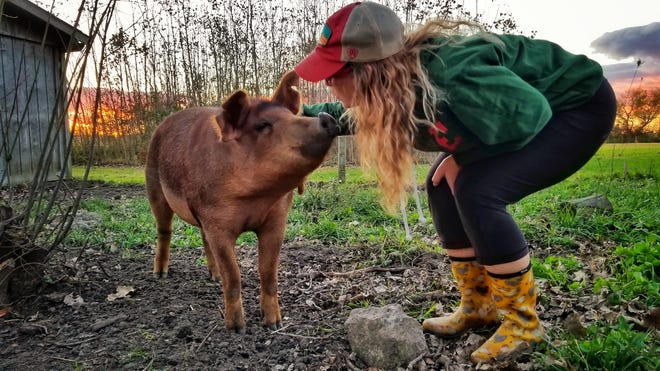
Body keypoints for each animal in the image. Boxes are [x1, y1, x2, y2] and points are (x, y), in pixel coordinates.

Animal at [145, 71, 340, 332]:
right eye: (263, 125)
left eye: (292, 116)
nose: (326, 118)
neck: (255, 198)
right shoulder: (217, 224)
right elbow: (233, 276)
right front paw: (237, 329)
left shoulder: (276, 221)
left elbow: (268, 273)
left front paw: (274, 324)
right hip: (155, 187)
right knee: (164, 231)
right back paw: (160, 275)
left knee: (203, 240)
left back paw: (213, 277)